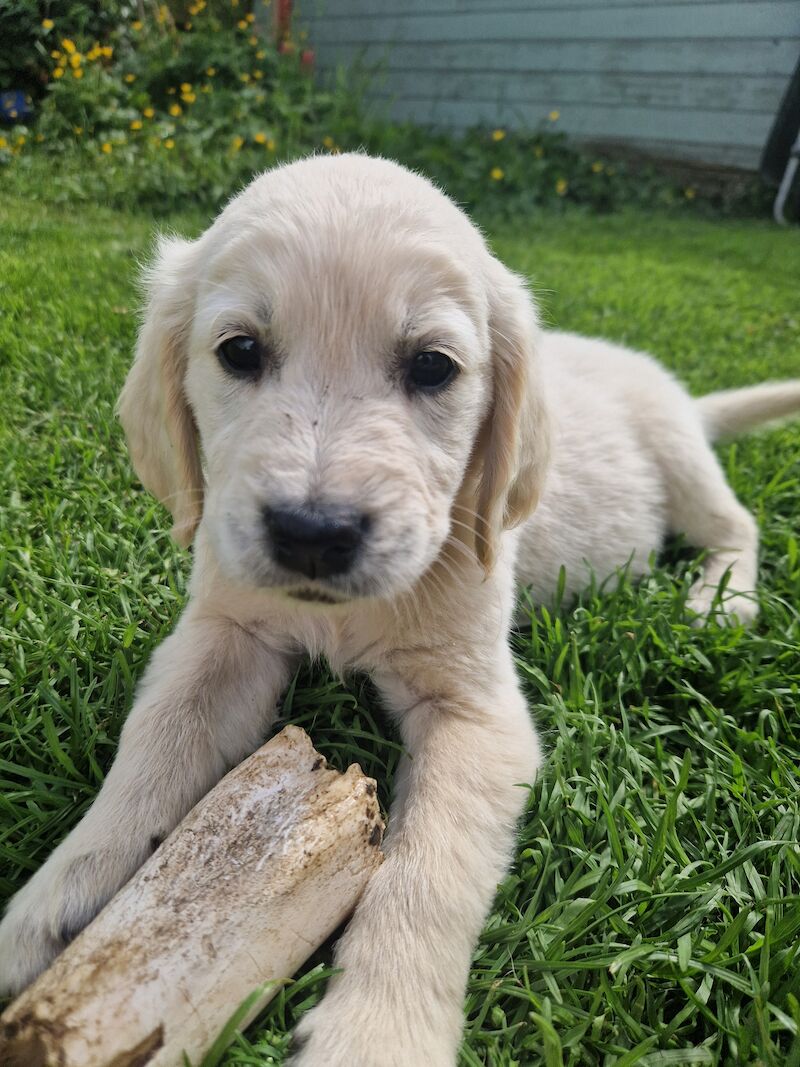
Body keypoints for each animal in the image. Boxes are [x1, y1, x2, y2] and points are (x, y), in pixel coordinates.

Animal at [1, 152, 800, 1067]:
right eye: (239, 351)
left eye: (432, 367)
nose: (313, 533)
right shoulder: (223, 634)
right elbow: (149, 756)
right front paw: (56, 909)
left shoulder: (477, 715)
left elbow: (427, 868)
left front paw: (378, 1029)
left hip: (678, 455)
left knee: (739, 524)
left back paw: (720, 600)